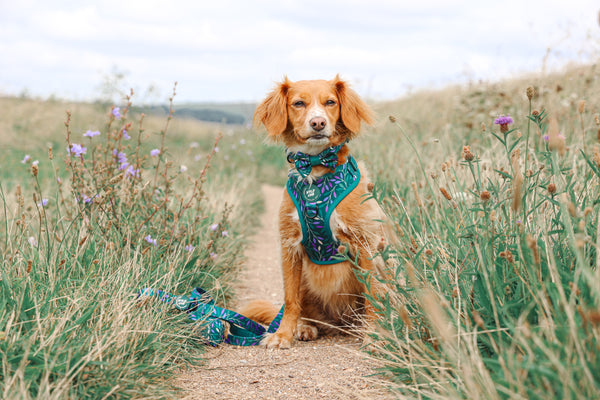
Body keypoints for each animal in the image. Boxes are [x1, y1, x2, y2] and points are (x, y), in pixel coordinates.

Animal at [241, 76, 386, 348]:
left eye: (330, 102)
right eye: (299, 103)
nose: (318, 123)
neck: (316, 170)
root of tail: (341, 325)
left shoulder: (366, 244)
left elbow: (373, 294)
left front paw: (374, 336)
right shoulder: (289, 246)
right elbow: (290, 300)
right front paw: (283, 334)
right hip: (307, 282)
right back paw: (304, 328)